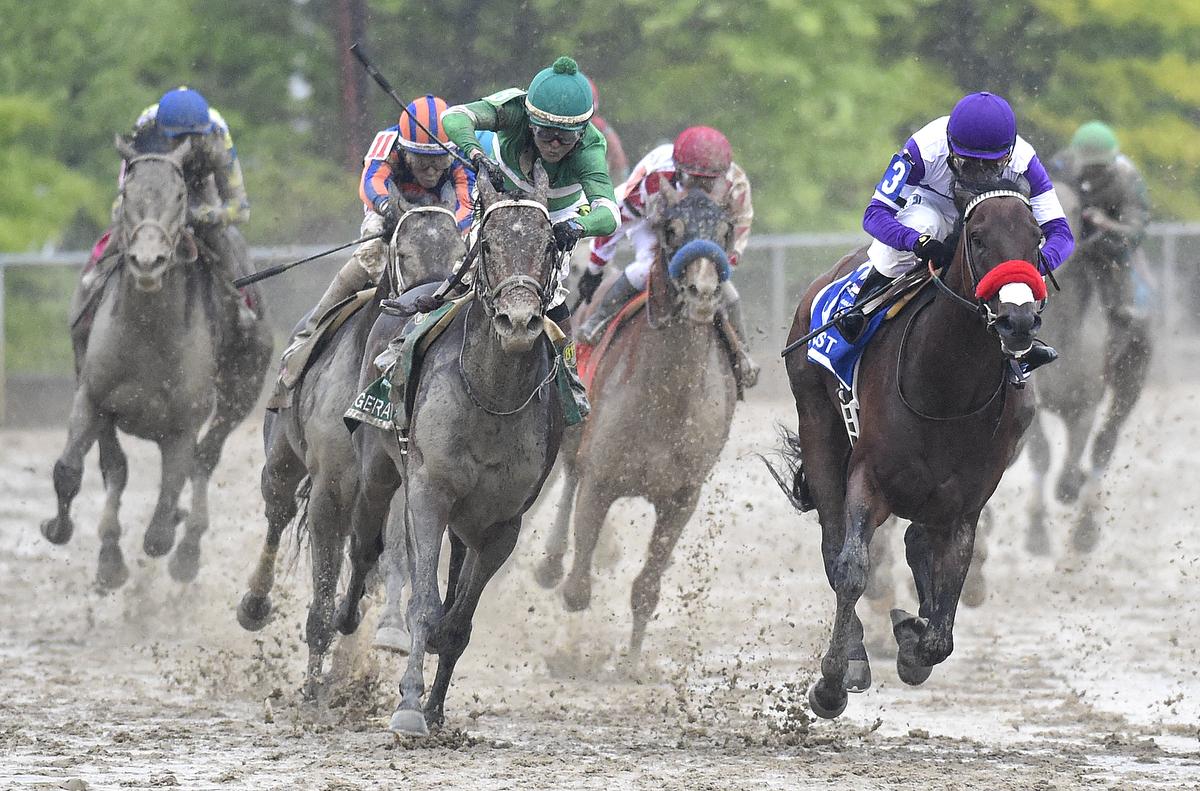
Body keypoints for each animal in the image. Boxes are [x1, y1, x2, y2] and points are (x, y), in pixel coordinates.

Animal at [41, 134, 272, 588]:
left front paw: (173, 536)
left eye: (180, 195)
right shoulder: (93, 400)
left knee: (204, 461)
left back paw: (188, 549)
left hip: (242, 393)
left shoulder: (183, 426)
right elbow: (77, 470)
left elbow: (162, 520)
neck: (148, 334)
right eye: (126, 192)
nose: (148, 262)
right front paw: (78, 541)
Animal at [236, 204, 460, 700]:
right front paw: (313, 684)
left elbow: (393, 553)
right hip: (281, 458)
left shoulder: (399, 484)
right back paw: (255, 604)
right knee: (278, 512)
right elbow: (322, 588)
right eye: (403, 254)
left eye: (459, 256)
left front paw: (386, 632)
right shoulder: (331, 491)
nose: (432, 302)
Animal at [333, 164, 566, 739]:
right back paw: (346, 616)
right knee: (366, 544)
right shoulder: (429, 493)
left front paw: (435, 705)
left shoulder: (503, 523)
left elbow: (459, 621)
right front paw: (410, 707)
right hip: (379, 469)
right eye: (487, 243)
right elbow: (423, 603)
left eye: (550, 243)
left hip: (468, 518)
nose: (519, 322)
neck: (492, 397)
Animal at [537, 186, 739, 657]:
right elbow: (577, 590)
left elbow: (646, 590)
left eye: (726, 230)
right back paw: (550, 562)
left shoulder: (682, 498)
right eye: (671, 229)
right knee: (569, 473)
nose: (704, 292)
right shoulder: (601, 478)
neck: (666, 404)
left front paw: (630, 664)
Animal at [777, 188, 1051, 720]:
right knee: (833, 545)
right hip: (818, 426)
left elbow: (943, 626)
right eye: (978, 238)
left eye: (1036, 239)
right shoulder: (869, 477)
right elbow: (851, 569)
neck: (948, 387)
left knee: (915, 543)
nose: (1018, 320)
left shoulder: (966, 503)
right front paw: (833, 681)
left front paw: (912, 639)